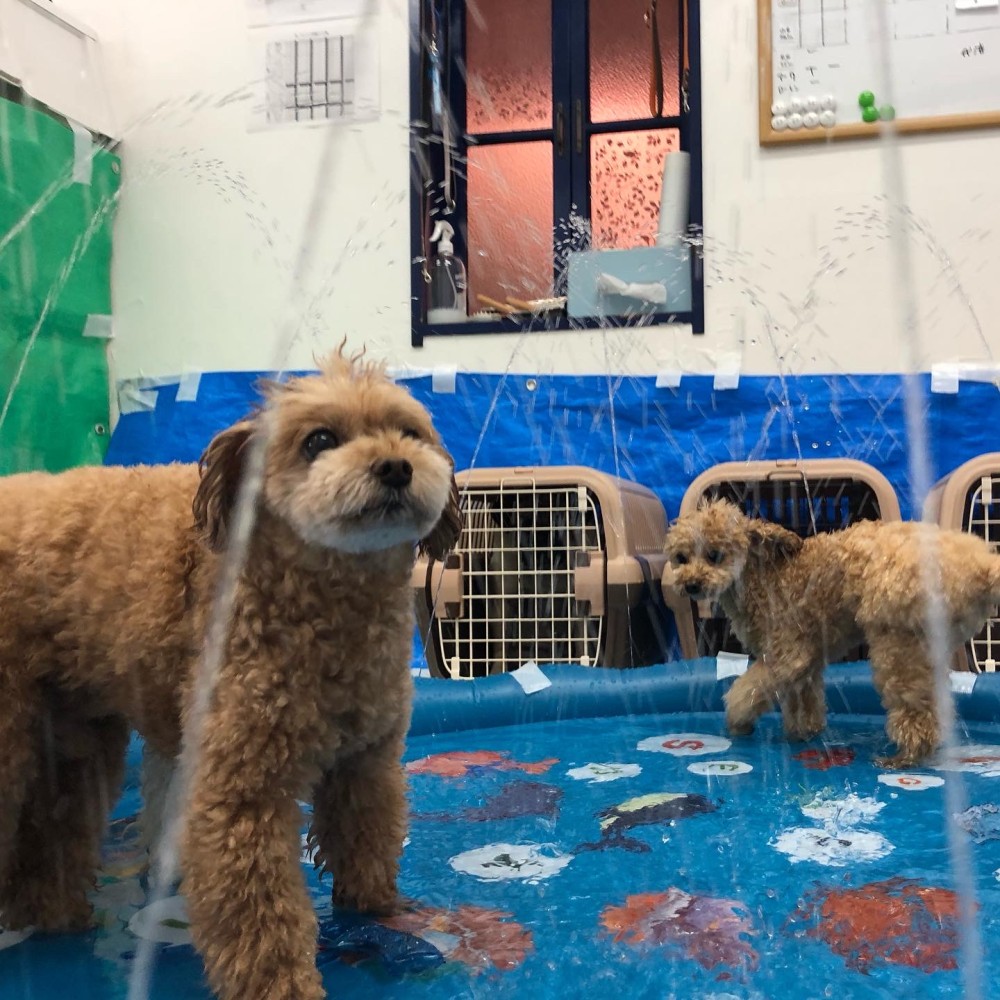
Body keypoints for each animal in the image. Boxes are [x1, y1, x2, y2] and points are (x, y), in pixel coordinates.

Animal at [0, 350, 462, 1000]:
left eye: (409, 433)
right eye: (320, 440)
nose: (396, 467)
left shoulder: (365, 762)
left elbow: (366, 843)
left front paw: (379, 914)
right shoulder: (238, 788)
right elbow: (258, 911)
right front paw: (282, 985)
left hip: (71, 736)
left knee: (53, 832)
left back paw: (56, 919)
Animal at [662, 498, 1000, 769]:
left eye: (714, 555)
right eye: (681, 558)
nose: (691, 584)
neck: (759, 577)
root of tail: (980, 564)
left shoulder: (788, 655)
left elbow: (746, 691)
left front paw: (738, 722)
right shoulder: (806, 661)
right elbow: (804, 699)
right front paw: (803, 733)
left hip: (897, 643)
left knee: (914, 707)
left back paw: (905, 757)